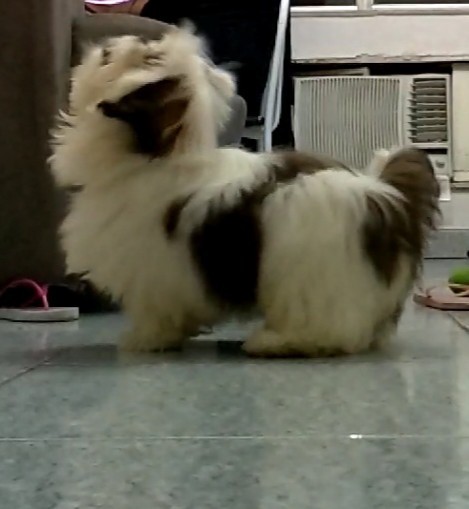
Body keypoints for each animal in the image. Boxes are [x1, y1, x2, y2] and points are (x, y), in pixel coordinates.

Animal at [49, 28, 440, 356]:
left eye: (148, 58)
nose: (113, 44)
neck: (151, 154)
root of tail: (388, 197)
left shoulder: (153, 271)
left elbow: (156, 312)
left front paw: (144, 340)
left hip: (307, 260)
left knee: (330, 329)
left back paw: (275, 342)